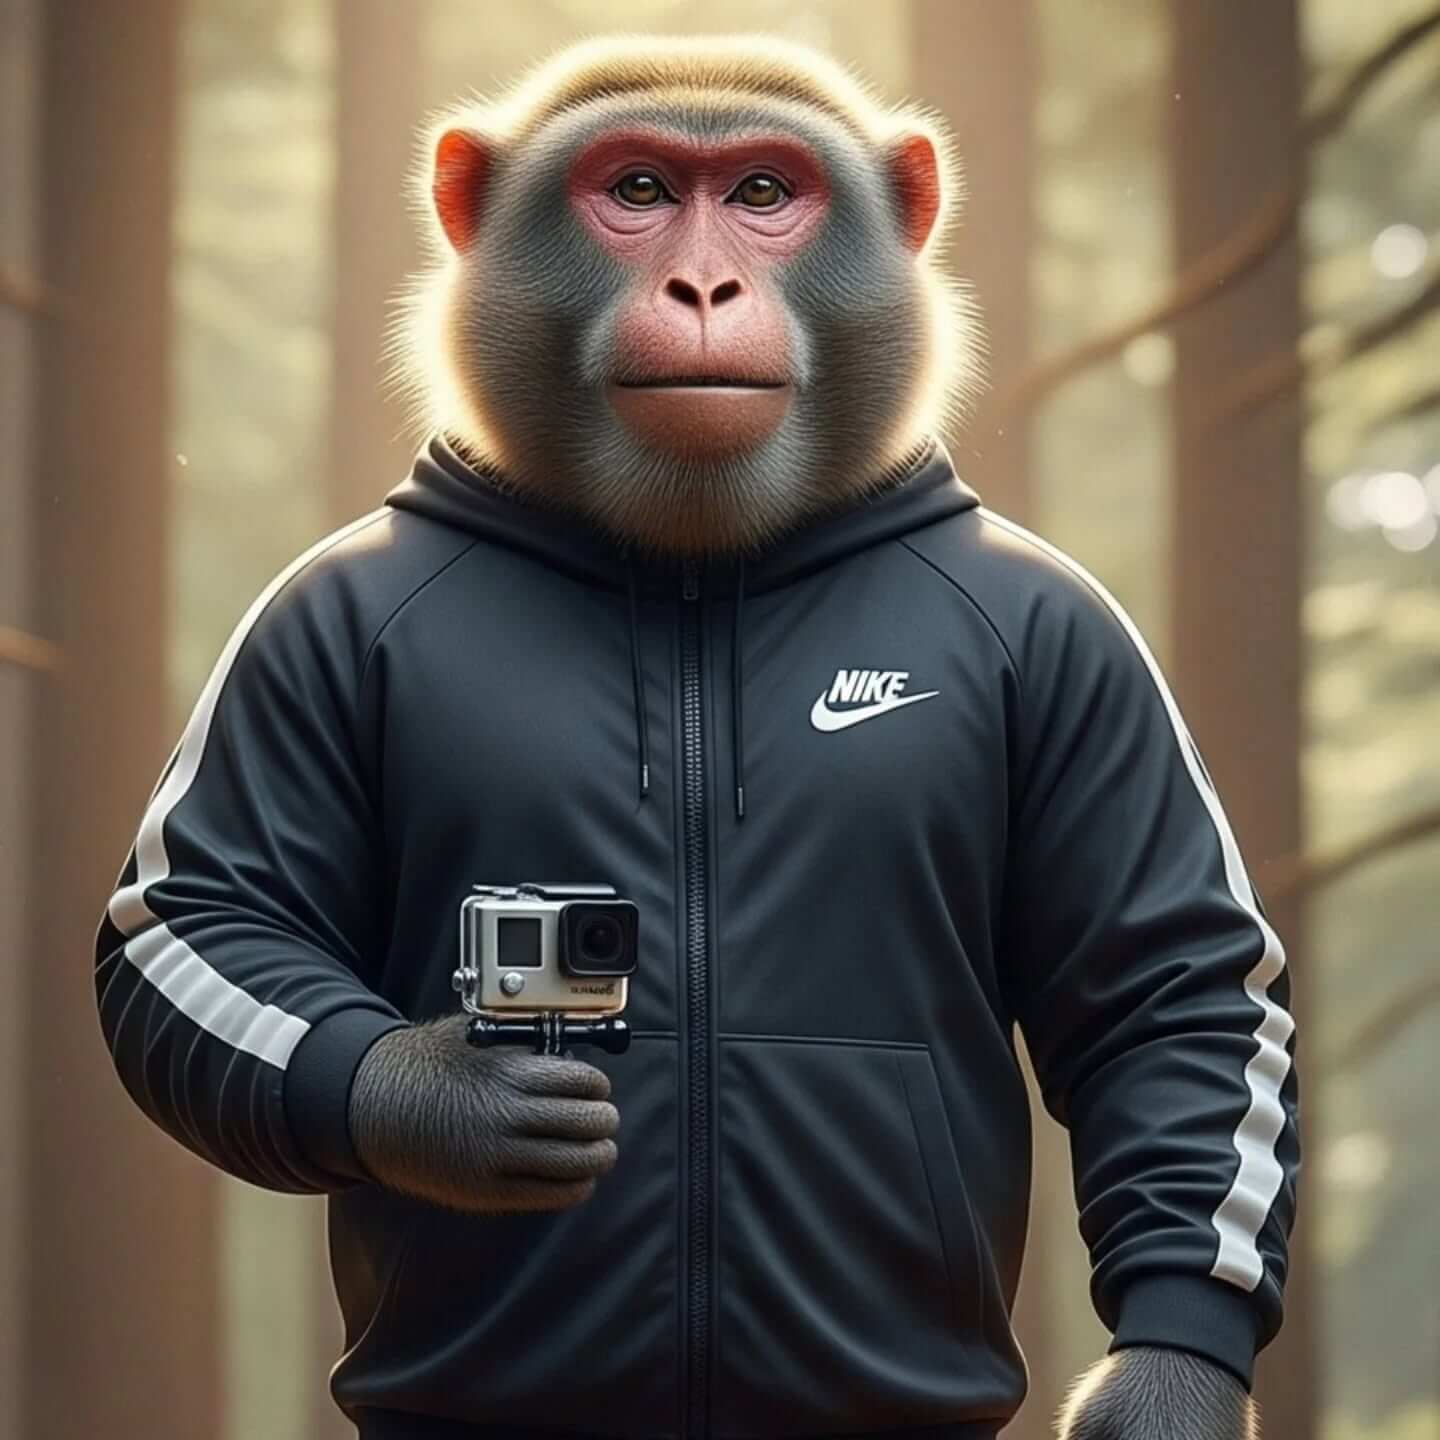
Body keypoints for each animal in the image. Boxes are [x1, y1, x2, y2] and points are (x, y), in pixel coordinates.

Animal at [97, 35, 1295, 1440]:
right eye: (641, 188)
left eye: (765, 191)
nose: (706, 282)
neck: (687, 571)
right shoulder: (296, 627)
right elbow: (203, 914)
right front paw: (443, 1104)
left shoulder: (1083, 643)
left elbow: (1169, 980)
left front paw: (1167, 1380)